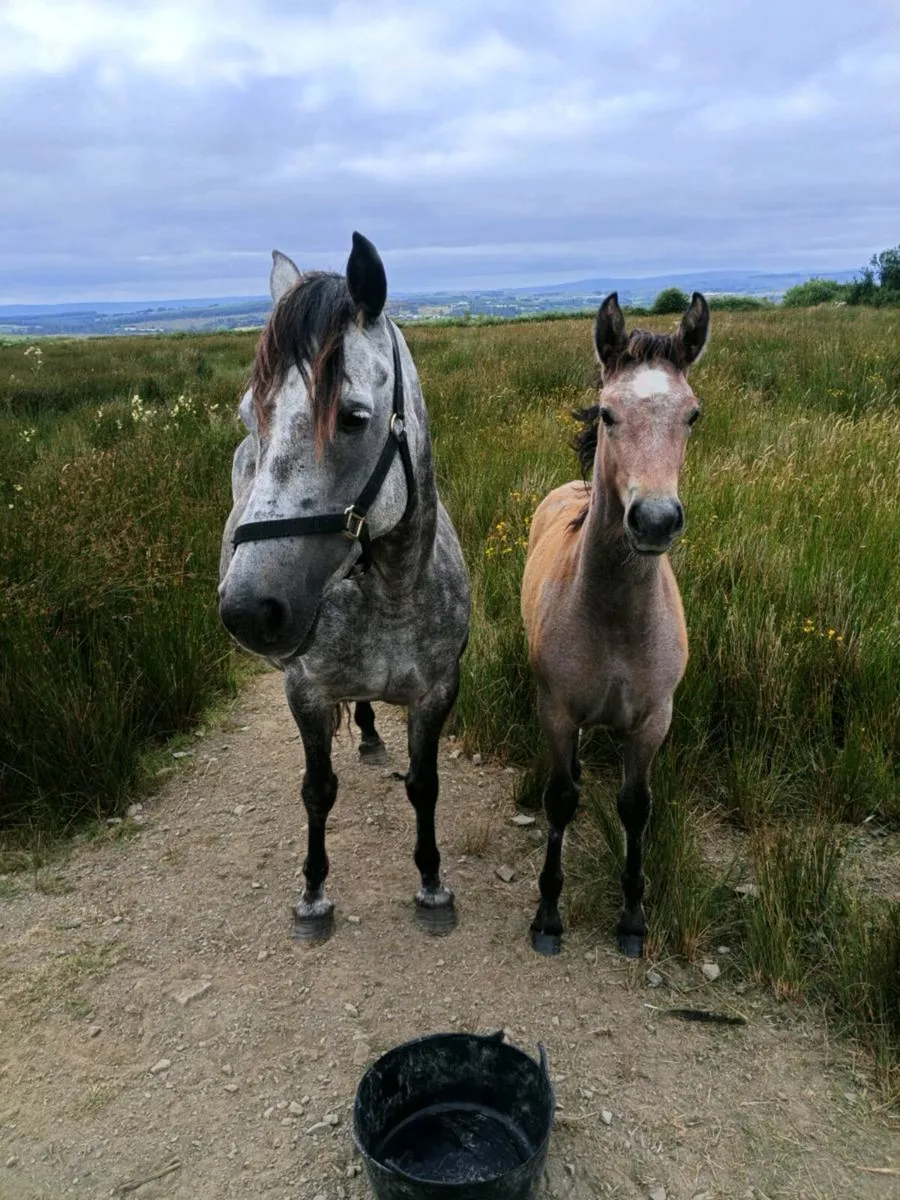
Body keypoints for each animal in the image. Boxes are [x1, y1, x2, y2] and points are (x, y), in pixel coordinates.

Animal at [218, 232, 471, 943]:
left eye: (353, 418)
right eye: (250, 415)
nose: (248, 611)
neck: (392, 596)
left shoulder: (437, 693)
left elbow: (424, 786)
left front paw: (432, 886)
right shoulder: (304, 691)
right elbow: (317, 790)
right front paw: (313, 895)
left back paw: (368, 735)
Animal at [520, 291, 710, 957]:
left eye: (692, 415)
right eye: (607, 414)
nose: (653, 520)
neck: (615, 621)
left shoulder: (654, 721)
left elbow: (635, 806)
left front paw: (632, 916)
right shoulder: (555, 710)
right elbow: (560, 800)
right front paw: (548, 915)